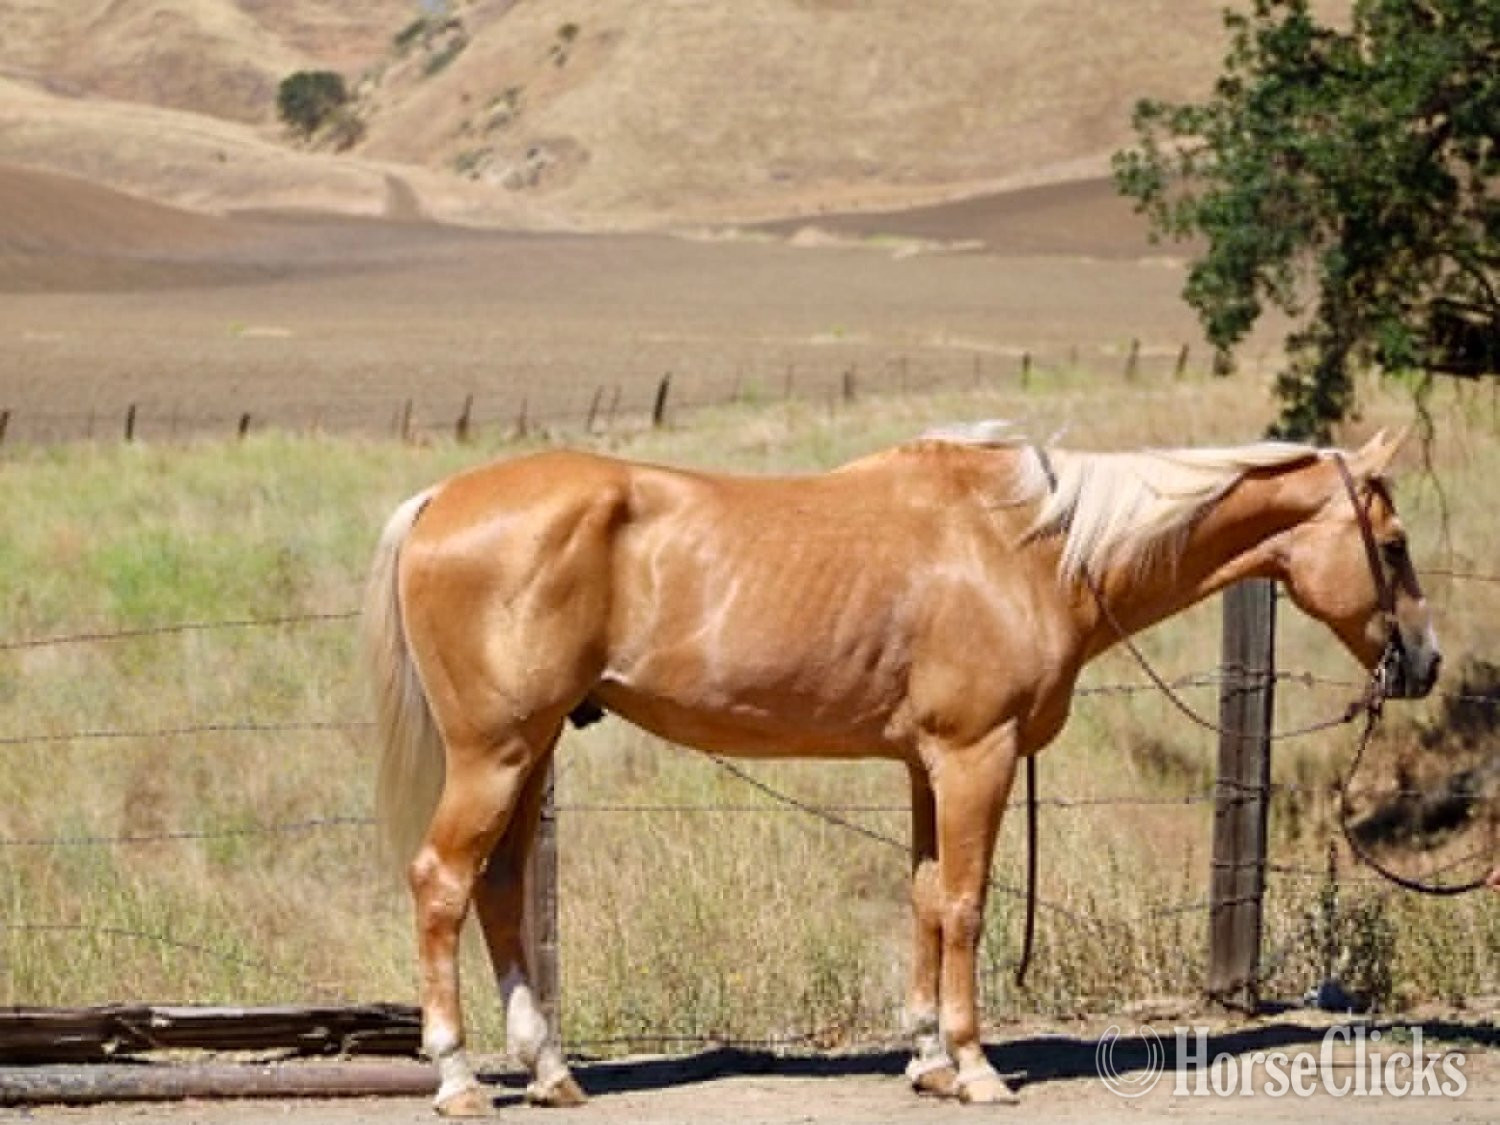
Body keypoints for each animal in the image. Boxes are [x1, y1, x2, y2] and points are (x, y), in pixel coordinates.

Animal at [364, 426, 1439, 1115]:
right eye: (1393, 544)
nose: (1422, 662)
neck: (1029, 546)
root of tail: (438, 501)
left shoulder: (929, 765)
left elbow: (925, 897)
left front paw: (926, 1060)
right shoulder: (976, 754)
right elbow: (964, 903)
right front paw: (974, 1066)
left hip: (532, 751)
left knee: (498, 888)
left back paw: (549, 1072)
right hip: (497, 753)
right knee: (442, 883)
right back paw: (457, 1079)